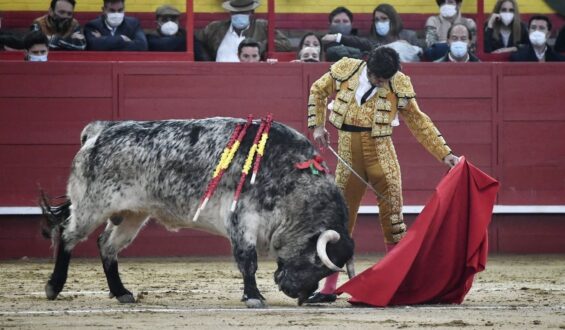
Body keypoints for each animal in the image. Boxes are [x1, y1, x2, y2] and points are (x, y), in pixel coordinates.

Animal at [40, 118, 352, 306]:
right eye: (316, 261)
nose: (298, 294)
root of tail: (100, 131)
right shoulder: (242, 220)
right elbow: (247, 261)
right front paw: (253, 296)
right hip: (91, 205)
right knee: (67, 235)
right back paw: (54, 286)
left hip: (132, 214)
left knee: (106, 245)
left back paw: (122, 293)